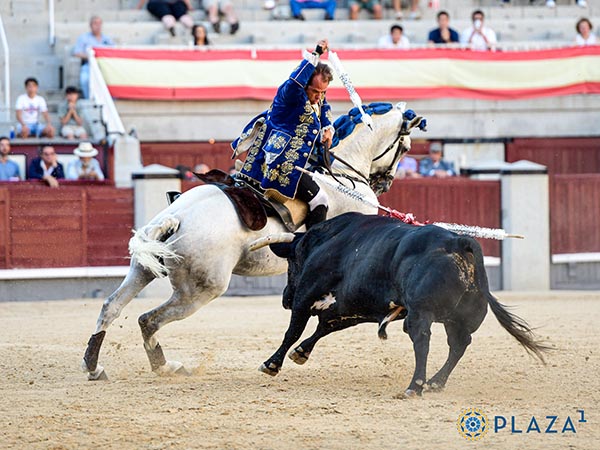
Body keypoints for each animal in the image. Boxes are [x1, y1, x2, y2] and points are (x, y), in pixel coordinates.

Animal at [82, 103, 424, 380]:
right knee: (148, 320)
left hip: (144, 268)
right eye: (405, 147)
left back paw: (94, 365)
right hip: (199, 291)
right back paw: (166, 366)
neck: (340, 174)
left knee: (112, 306)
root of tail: (176, 216)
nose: (385, 182)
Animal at [258, 213, 548, 396]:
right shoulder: (351, 309)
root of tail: (459, 241)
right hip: (460, 318)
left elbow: (293, 331)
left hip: (421, 312)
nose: (285, 299)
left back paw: (415, 387)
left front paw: (272, 363)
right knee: (459, 345)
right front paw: (300, 353)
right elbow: (322, 329)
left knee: (422, 341)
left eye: (291, 263)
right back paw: (435, 383)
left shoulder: (307, 294)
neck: (325, 240)